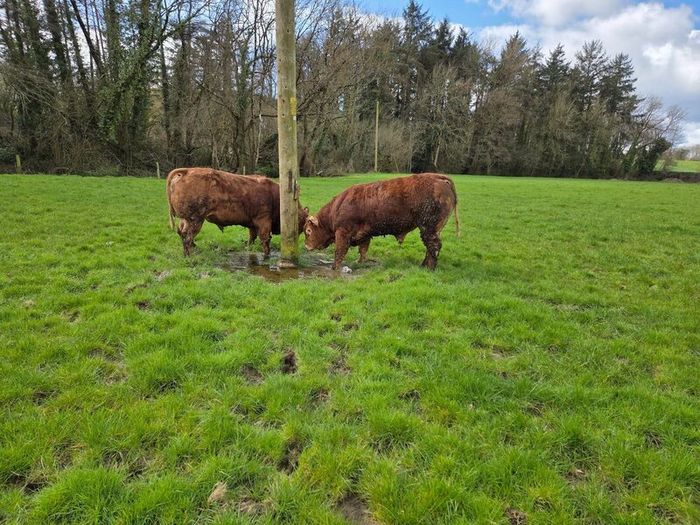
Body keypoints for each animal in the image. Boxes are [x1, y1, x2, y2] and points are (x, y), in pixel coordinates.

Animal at [166, 168, 308, 257]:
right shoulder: (263, 221)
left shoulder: (253, 224)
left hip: (186, 219)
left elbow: (252, 238)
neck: (274, 195)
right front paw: (267, 256)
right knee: (187, 237)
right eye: (302, 221)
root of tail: (187, 171)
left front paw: (248, 249)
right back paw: (188, 255)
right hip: (195, 220)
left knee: (182, 233)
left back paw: (194, 248)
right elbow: (265, 240)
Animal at [303, 173, 460, 270]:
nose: (306, 246)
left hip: (428, 227)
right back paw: (423, 265)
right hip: (432, 229)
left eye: (308, 231)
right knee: (431, 247)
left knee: (434, 246)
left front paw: (334, 268)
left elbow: (339, 252)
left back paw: (429, 268)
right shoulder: (364, 234)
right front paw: (360, 262)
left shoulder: (342, 233)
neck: (338, 206)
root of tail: (438, 177)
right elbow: (363, 250)